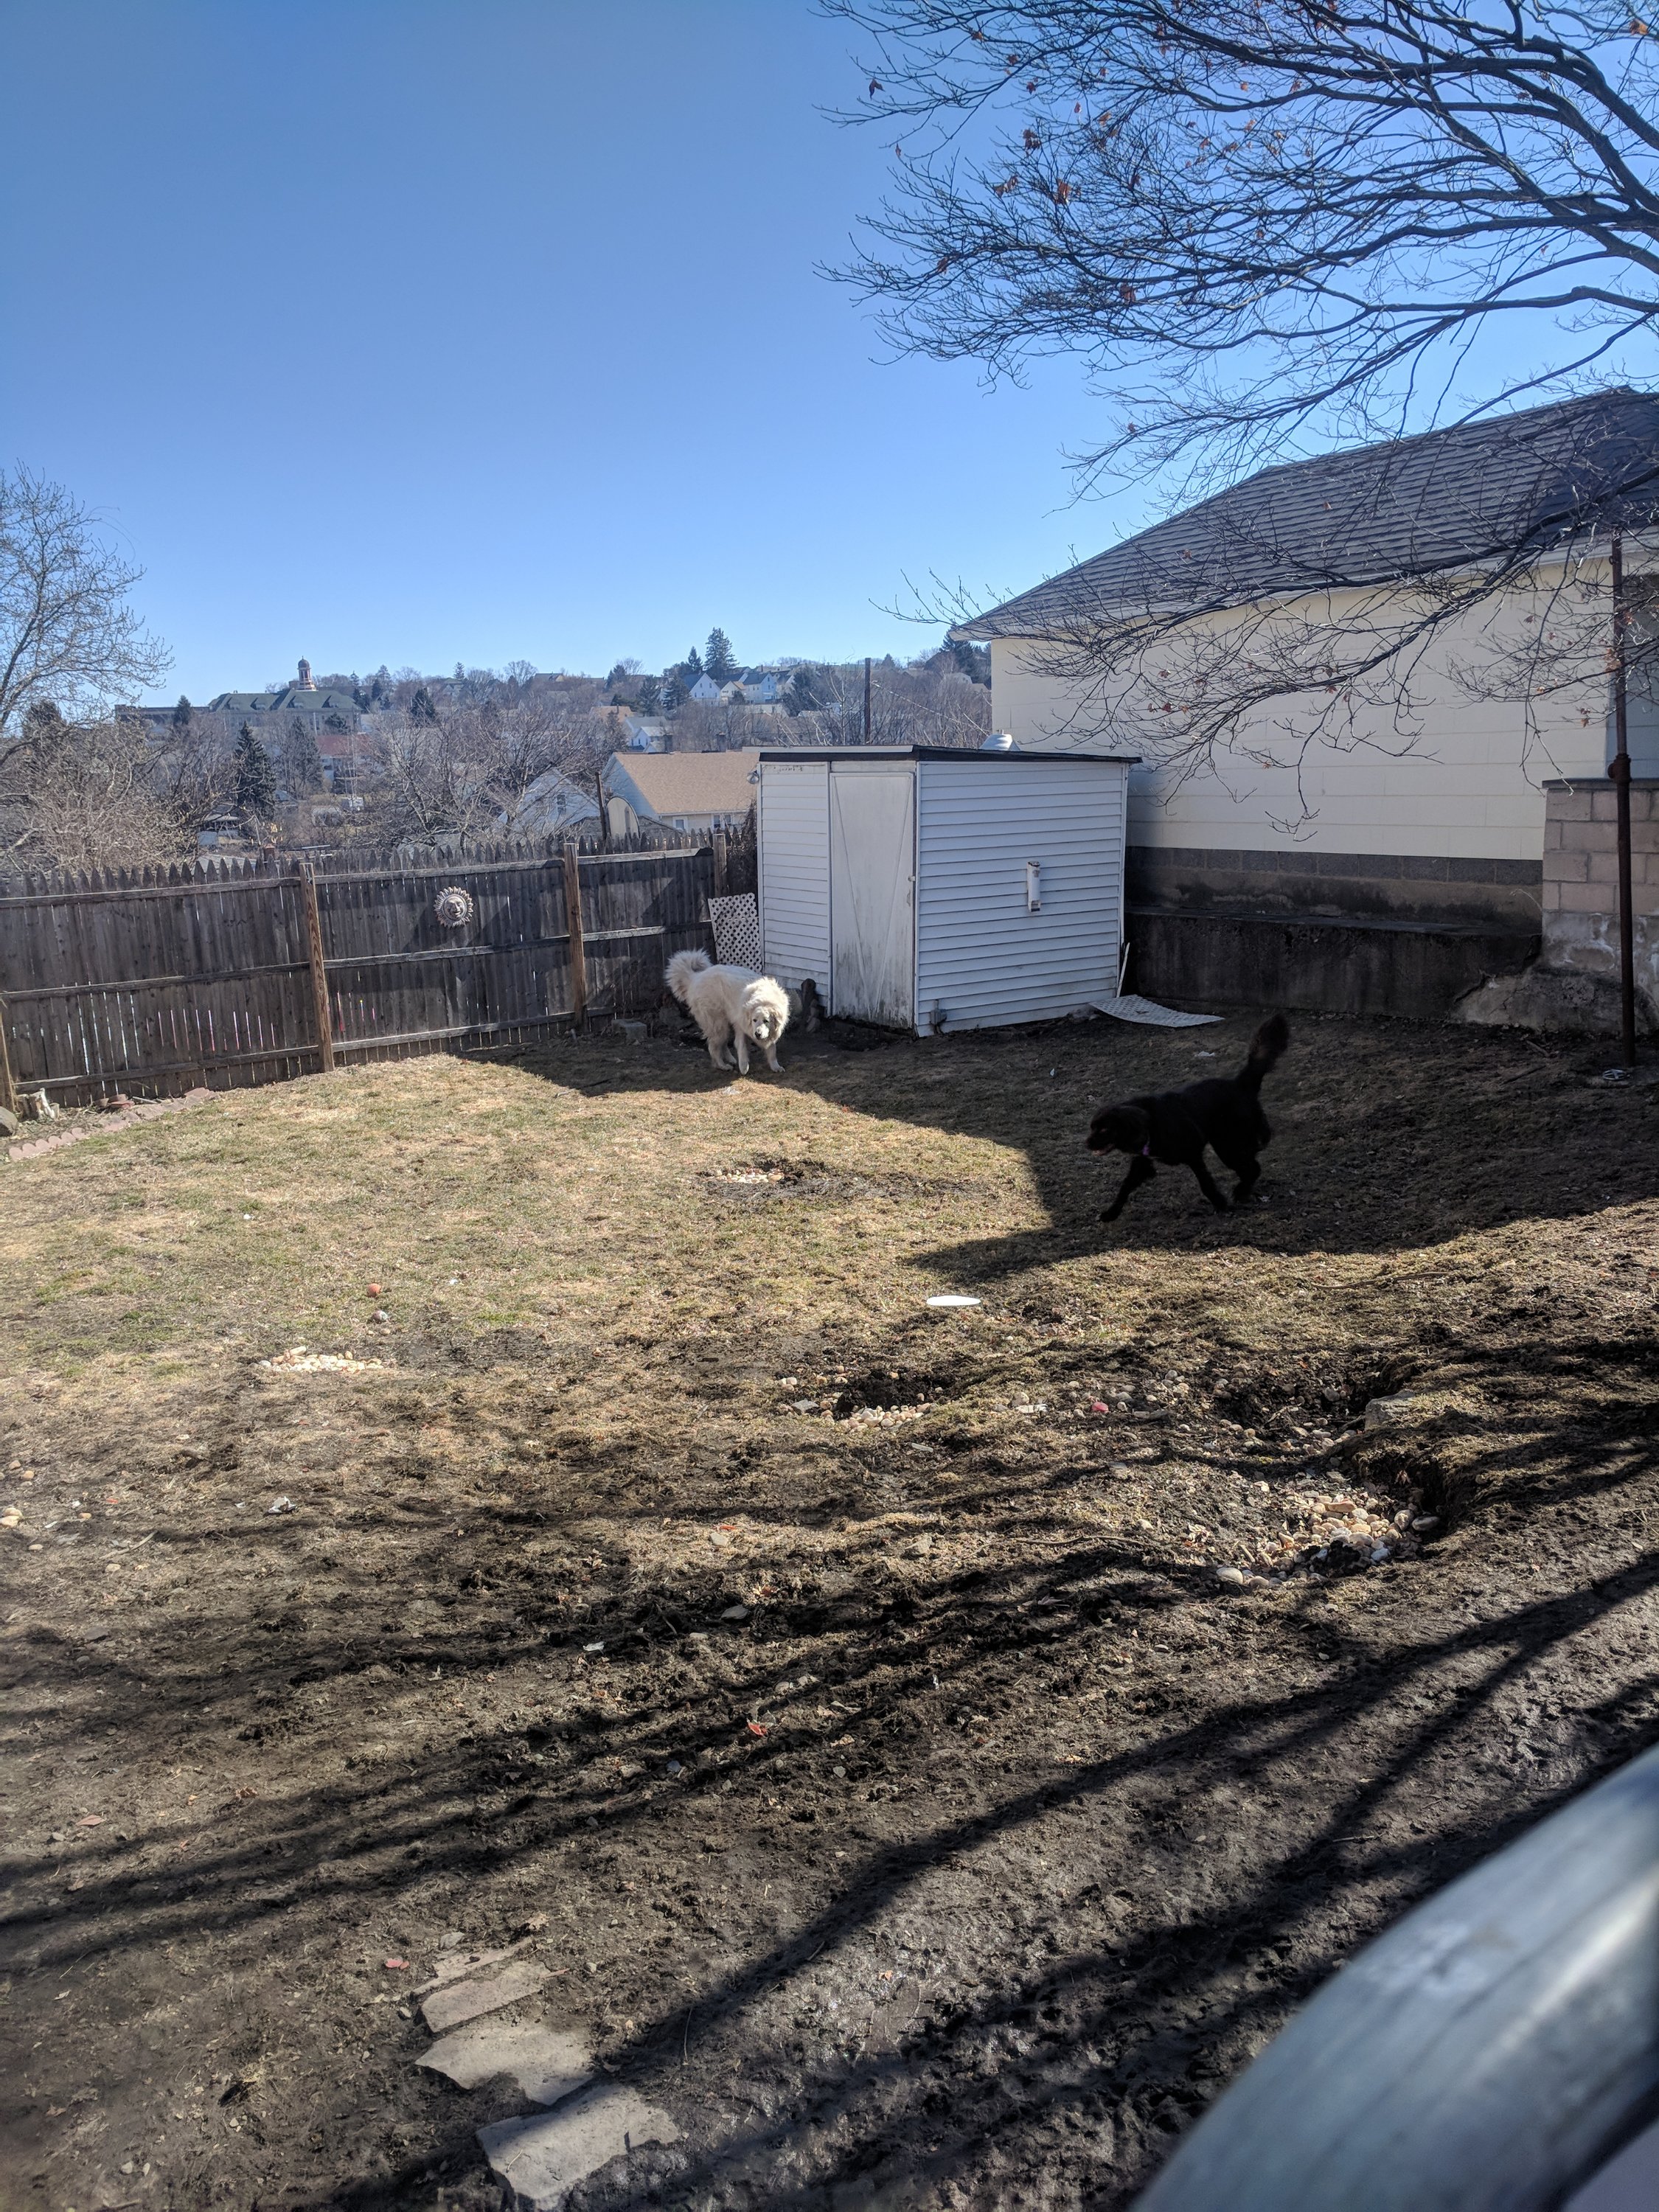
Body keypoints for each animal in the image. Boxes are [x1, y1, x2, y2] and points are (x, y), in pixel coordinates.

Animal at [664, 947, 792, 1075]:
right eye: (754, 1020)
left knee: (723, 1044)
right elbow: (741, 1046)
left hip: (723, 1023)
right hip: (717, 1023)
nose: (757, 1034)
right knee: (714, 1048)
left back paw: (731, 1060)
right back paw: (722, 1065)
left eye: (766, 1021)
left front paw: (775, 1066)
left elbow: (772, 1050)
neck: (764, 1000)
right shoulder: (741, 1025)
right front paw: (744, 1066)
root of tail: (696, 977)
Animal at [1097, 1018, 1292, 1230]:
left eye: (1105, 1129)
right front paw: (1111, 1213)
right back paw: (1243, 1190)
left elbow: (1205, 1182)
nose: (1088, 1144)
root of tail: (1240, 1084)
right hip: (1229, 1144)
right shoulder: (1142, 1162)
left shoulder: (1193, 1155)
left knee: (1252, 1167)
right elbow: (1125, 1186)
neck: (1151, 1123)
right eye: (1093, 1127)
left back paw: (1240, 1192)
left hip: (1228, 1146)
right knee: (1251, 1165)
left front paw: (1219, 1203)